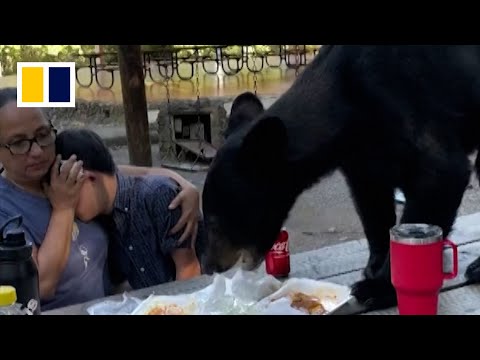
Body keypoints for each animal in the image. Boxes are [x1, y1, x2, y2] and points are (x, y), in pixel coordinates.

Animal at [201, 44, 480, 310]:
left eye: (216, 220)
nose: (208, 266)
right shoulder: (361, 158)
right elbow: (372, 203)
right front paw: (374, 264)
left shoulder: (405, 99)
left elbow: (441, 173)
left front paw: (377, 288)